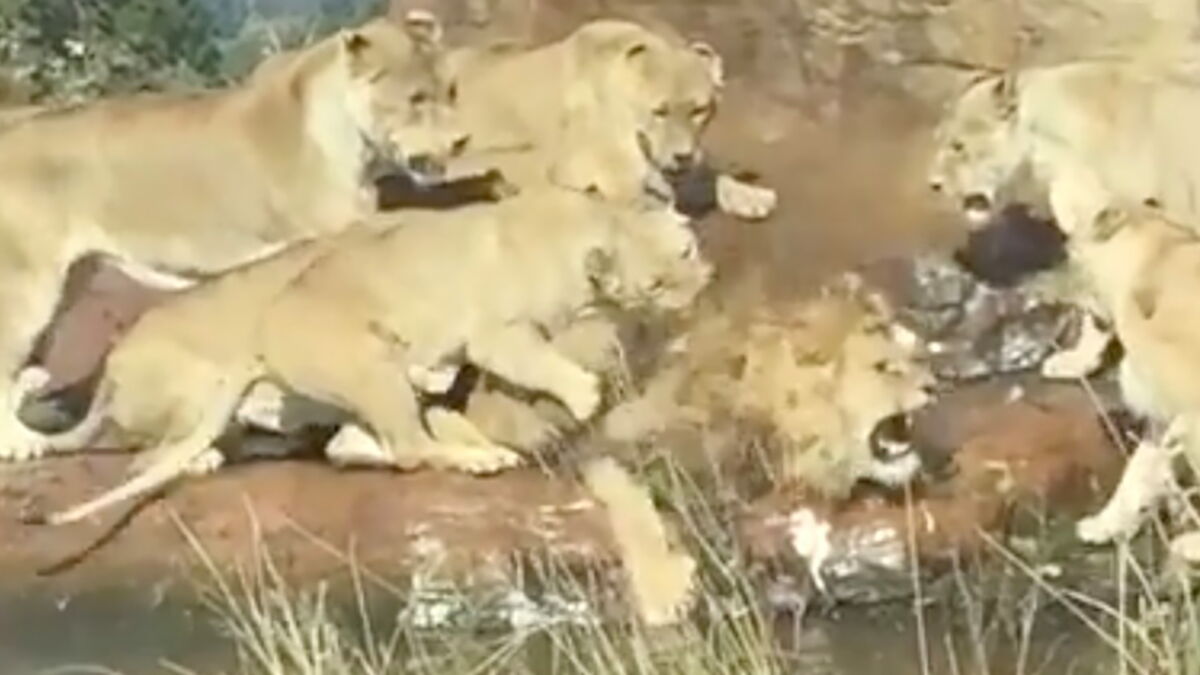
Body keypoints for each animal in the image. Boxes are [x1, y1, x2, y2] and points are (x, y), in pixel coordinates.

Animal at [0, 10, 467, 461]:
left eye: (450, 91)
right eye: (416, 99)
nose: (462, 141)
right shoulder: (330, 252)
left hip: (71, 280)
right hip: (26, 284)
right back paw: (20, 442)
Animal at [23, 187, 713, 525]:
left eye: (688, 249)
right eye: (657, 281)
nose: (700, 286)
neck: (596, 227)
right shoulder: (496, 333)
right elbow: (540, 363)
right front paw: (583, 393)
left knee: (363, 443)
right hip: (365, 365)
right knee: (404, 448)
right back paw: (479, 459)